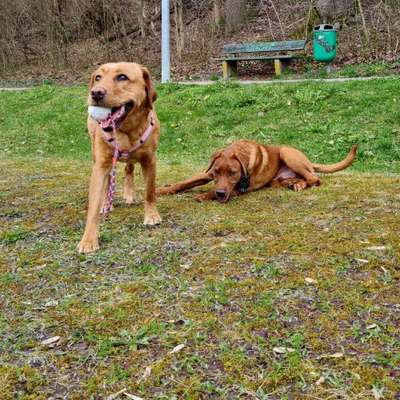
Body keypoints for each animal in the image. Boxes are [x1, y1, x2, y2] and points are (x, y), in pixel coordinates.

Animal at [77, 62, 161, 253]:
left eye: (122, 77)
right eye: (98, 77)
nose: (95, 93)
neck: (126, 131)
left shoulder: (150, 160)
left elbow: (150, 191)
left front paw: (152, 215)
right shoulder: (101, 165)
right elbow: (93, 206)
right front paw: (88, 239)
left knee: (128, 168)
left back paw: (129, 193)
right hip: (98, 157)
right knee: (109, 180)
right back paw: (106, 203)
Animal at [156, 141, 356, 203]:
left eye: (233, 173)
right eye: (217, 171)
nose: (220, 193)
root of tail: (309, 161)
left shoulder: (243, 187)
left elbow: (218, 191)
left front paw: (205, 195)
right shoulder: (208, 173)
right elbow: (183, 183)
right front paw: (161, 190)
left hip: (286, 153)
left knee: (314, 178)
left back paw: (300, 184)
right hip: (277, 179)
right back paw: (293, 183)